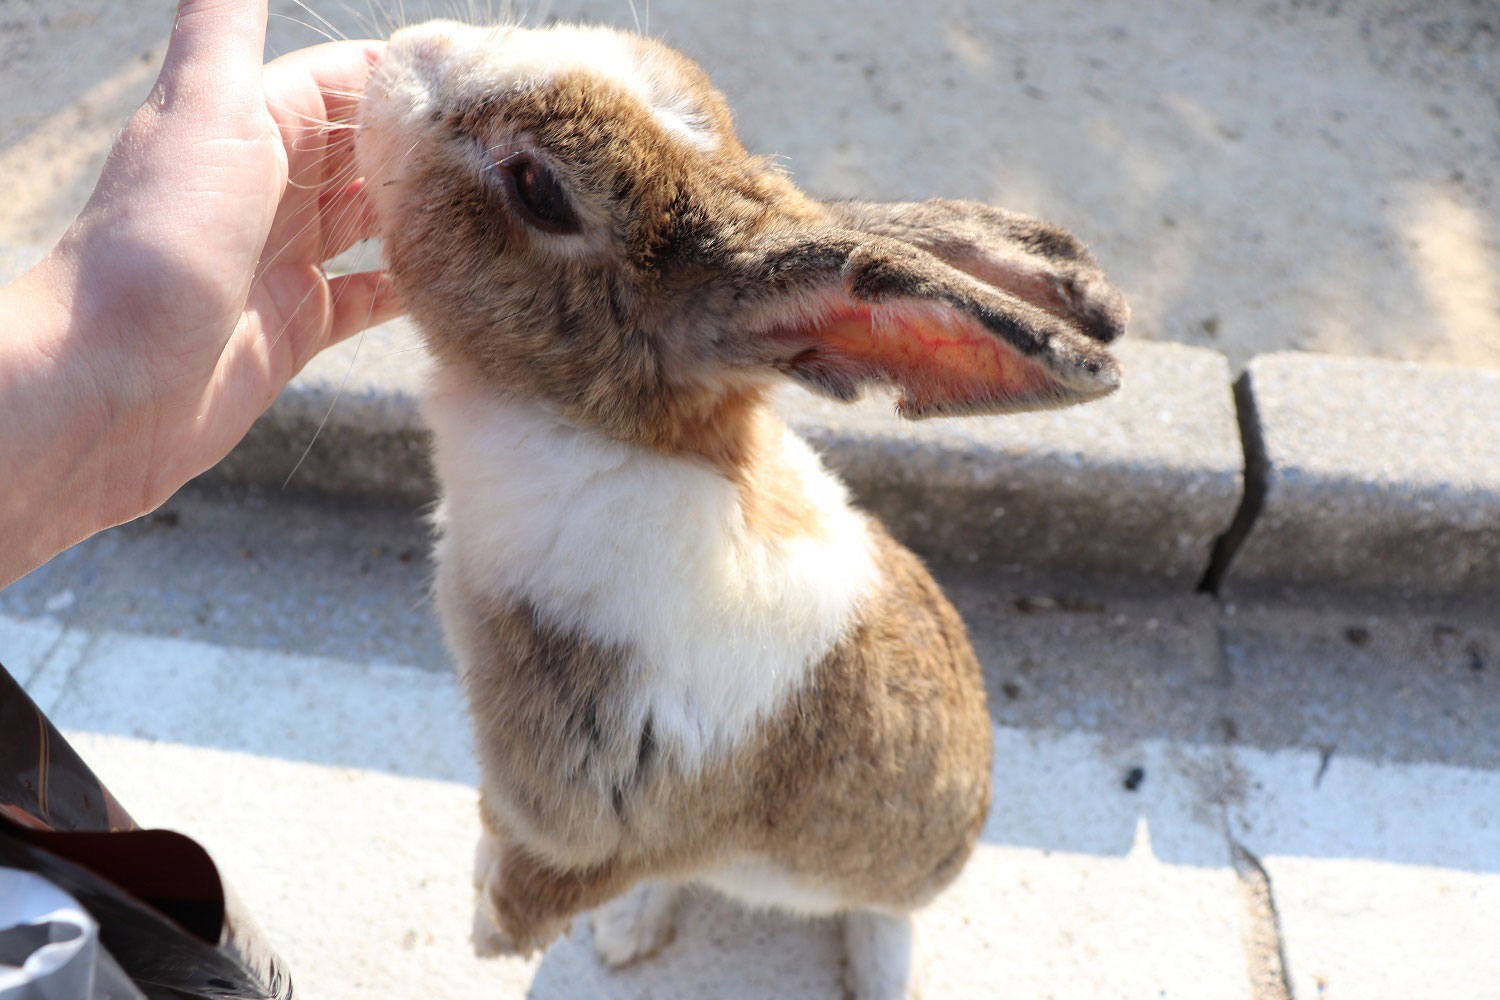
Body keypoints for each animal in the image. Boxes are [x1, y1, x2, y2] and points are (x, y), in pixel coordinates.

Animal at [354, 17, 1128, 1000]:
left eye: (539, 189)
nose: (401, 51)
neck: (605, 442)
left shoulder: (596, 812)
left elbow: (537, 877)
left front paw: (490, 934)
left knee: (881, 913)